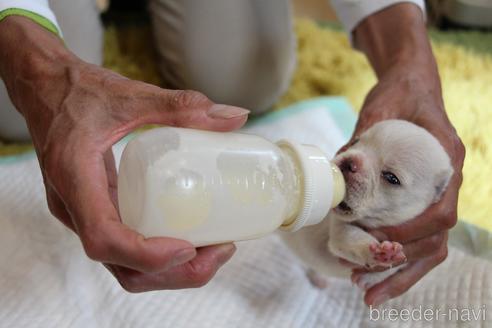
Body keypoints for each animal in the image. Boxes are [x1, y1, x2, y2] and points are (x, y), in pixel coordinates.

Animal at [280, 119, 454, 290]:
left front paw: (369, 277)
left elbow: (397, 267)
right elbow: (352, 238)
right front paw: (379, 253)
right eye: (355, 141)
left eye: (391, 178)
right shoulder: (340, 229)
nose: (350, 163)